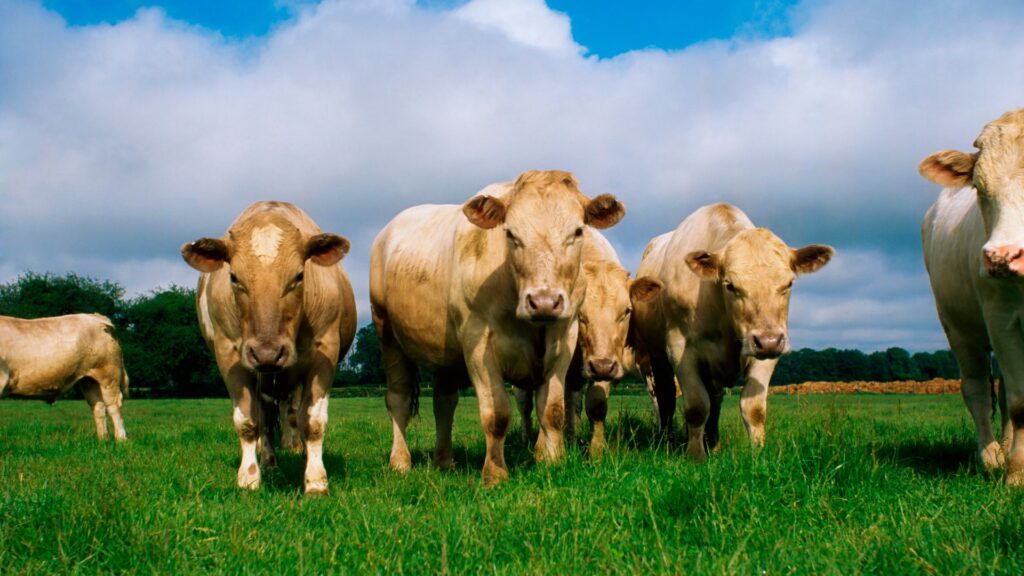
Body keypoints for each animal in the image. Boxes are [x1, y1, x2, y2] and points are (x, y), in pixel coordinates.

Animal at [181, 201, 356, 494]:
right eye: (234, 277)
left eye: (299, 275)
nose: (267, 353)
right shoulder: (229, 356)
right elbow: (247, 422)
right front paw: (249, 478)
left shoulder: (325, 353)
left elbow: (313, 422)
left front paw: (315, 479)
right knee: (264, 420)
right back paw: (269, 462)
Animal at [370, 170, 625, 485]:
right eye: (511, 234)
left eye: (578, 231)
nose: (543, 302)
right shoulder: (478, 345)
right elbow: (496, 414)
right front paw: (494, 473)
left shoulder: (564, 339)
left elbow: (553, 409)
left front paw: (552, 461)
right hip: (388, 335)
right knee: (399, 399)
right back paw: (400, 461)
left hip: (444, 356)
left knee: (444, 403)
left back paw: (444, 461)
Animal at [514, 228, 662, 457]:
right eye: (580, 314)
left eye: (627, 311)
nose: (601, 366)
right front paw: (544, 449)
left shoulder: (607, 361)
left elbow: (595, 404)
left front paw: (597, 451)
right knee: (524, 404)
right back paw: (526, 439)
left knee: (571, 402)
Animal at [633, 203, 833, 460]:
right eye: (730, 285)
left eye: (789, 283)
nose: (768, 341)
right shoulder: (680, 349)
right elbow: (697, 406)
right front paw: (695, 456)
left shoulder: (767, 352)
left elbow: (753, 408)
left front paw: (758, 454)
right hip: (656, 357)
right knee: (666, 398)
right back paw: (667, 440)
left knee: (714, 400)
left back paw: (713, 443)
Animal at [919, 108, 1024, 484]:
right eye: (979, 188)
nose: (1002, 257)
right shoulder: (1002, 319)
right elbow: (1020, 403)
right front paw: (1016, 476)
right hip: (958, 328)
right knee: (977, 389)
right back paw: (991, 456)